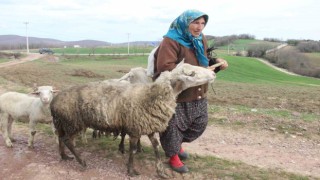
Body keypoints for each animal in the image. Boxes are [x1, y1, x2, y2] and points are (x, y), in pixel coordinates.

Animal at [50, 60, 215, 177]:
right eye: (192, 74)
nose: (213, 74)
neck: (150, 96)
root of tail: (54, 100)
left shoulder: (149, 127)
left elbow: (156, 147)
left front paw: (161, 171)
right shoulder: (135, 128)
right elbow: (132, 150)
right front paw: (131, 170)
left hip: (62, 122)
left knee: (60, 138)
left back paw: (64, 156)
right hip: (72, 122)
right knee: (67, 140)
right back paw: (81, 161)